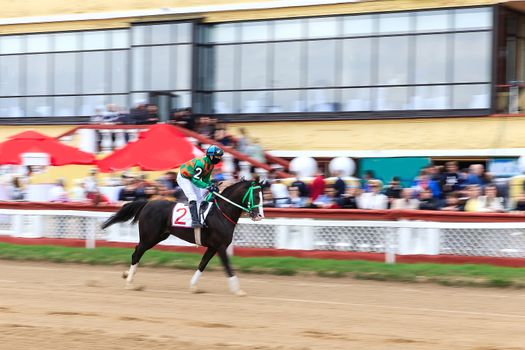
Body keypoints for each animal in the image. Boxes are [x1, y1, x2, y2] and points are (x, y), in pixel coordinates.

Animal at [101, 180, 264, 296]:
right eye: (256, 196)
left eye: (262, 196)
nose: (260, 215)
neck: (221, 213)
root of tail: (148, 202)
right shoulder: (221, 246)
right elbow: (228, 267)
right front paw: (238, 290)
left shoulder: (213, 247)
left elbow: (202, 264)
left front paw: (193, 286)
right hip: (149, 237)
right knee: (136, 253)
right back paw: (130, 282)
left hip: (159, 236)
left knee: (137, 252)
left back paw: (126, 274)